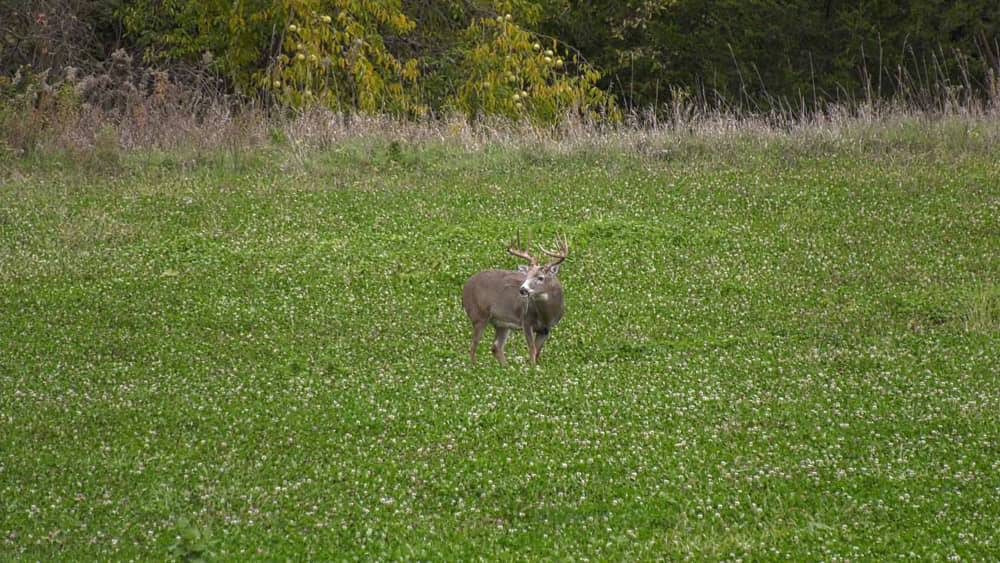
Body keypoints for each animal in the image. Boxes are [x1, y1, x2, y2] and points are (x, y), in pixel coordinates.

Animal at [462, 232, 569, 366]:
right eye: (526, 275)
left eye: (540, 277)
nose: (523, 289)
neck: (547, 315)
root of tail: (465, 287)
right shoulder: (526, 320)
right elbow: (532, 350)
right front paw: (532, 367)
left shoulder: (546, 329)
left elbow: (537, 352)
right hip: (478, 315)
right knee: (473, 345)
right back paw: (473, 367)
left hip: (501, 323)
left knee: (496, 346)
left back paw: (506, 367)